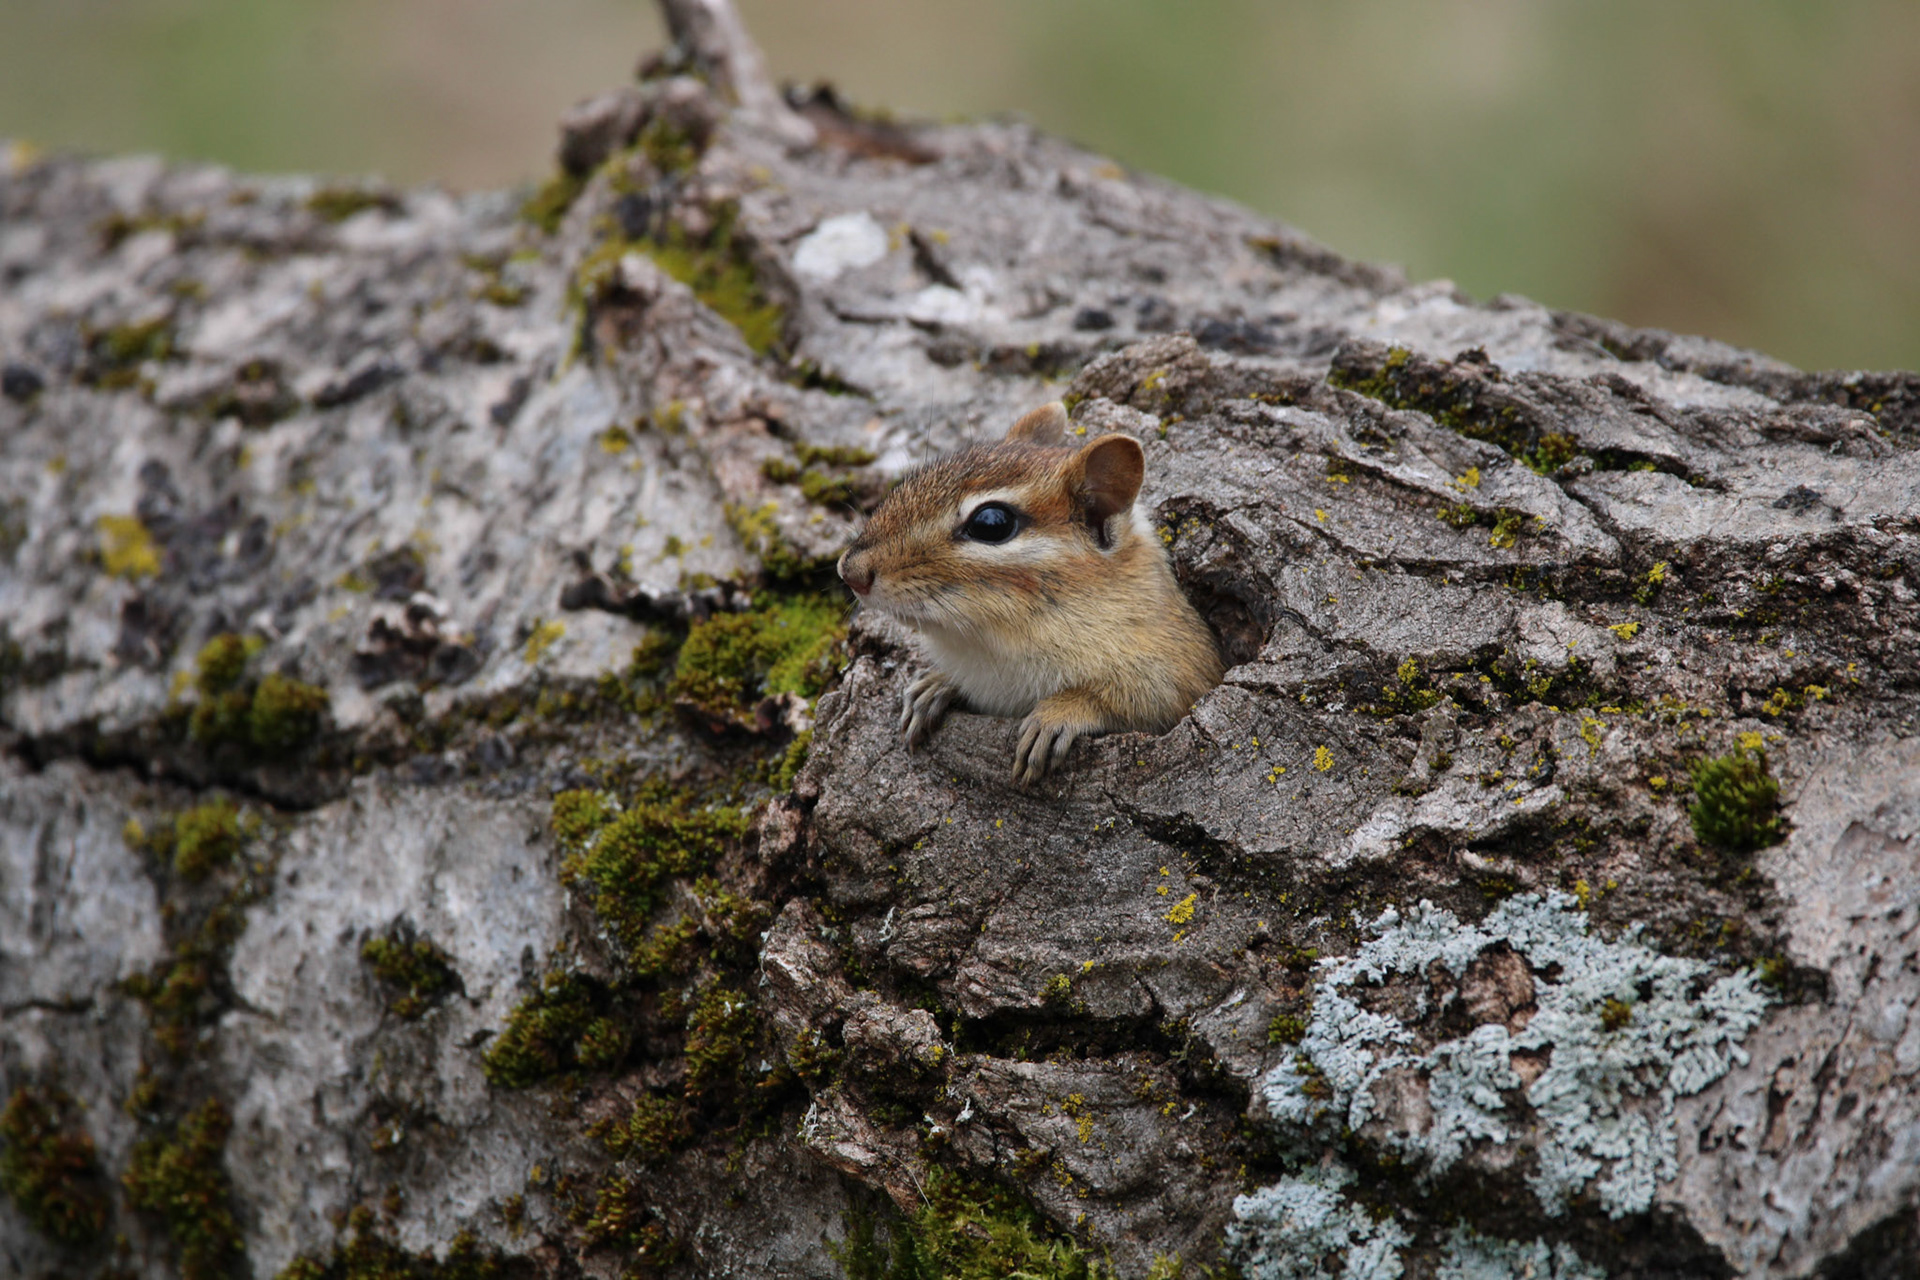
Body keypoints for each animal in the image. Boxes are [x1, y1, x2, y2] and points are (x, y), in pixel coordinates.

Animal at [837, 402, 1223, 784]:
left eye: (992, 523)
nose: (850, 571)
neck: (992, 647)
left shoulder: (1178, 671)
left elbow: (1144, 702)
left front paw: (1059, 713)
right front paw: (935, 685)